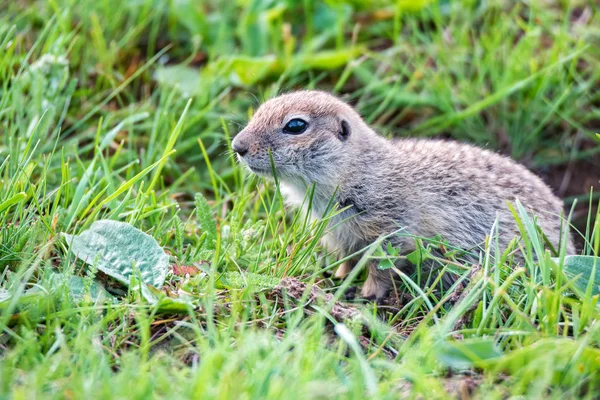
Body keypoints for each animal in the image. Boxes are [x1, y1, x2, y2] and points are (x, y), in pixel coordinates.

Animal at [231, 90, 576, 296]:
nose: (237, 146)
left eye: (296, 126)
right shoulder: (341, 235)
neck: (357, 169)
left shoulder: (389, 230)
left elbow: (380, 266)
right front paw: (338, 278)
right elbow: (347, 259)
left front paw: (369, 293)